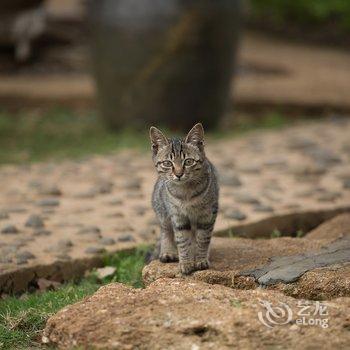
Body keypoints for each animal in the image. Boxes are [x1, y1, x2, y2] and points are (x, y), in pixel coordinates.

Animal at [150, 123, 219, 274]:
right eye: (168, 163)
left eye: (188, 161)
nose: (179, 174)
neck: (185, 192)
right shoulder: (178, 216)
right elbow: (182, 240)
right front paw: (186, 263)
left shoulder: (208, 215)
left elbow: (203, 238)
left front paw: (200, 259)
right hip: (162, 210)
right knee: (165, 230)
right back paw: (168, 252)